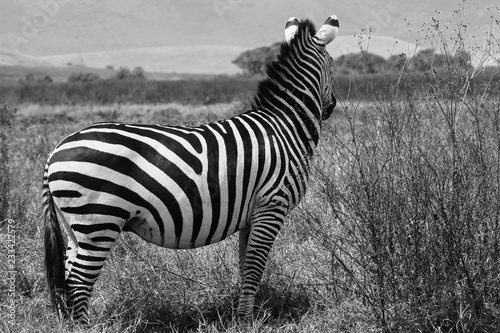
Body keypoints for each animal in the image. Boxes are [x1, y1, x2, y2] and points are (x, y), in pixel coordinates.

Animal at [43, 14, 340, 322]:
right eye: (333, 63)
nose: (331, 107)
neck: (284, 125)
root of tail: (56, 150)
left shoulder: (252, 213)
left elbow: (245, 266)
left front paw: (241, 316)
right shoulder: (272, 205)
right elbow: (255, 267)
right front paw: (248, 319)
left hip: (75, 226)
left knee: (67, 278)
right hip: (98, 221)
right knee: (79, 282)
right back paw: (83, 326)